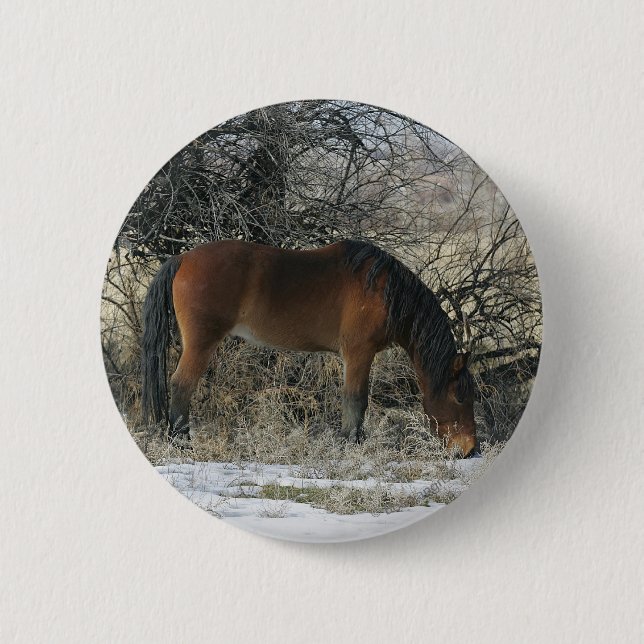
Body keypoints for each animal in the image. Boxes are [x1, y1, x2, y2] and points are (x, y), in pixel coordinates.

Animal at [141, 239, 477, 456]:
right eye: (460, 396)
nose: (469, 450)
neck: (384, 290)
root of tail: (183, 259)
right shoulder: (359, 353)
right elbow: (356, 400)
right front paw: (351, 445)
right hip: (201, 344)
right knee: (182, 385)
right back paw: (181, 442)